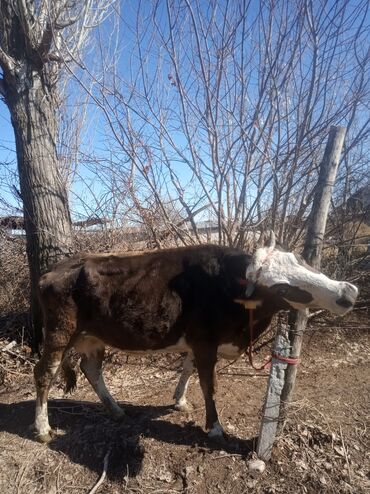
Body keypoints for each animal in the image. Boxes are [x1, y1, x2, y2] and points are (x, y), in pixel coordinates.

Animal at [33, 235, 356, 444]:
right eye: (283, 289)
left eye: (298, 258)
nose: (348, 293)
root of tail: (53, 270)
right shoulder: (205, 342)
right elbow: (209, 385)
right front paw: (215, 428)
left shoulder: (199, 341)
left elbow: (188, 369)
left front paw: (179, 400)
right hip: (60, 332)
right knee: (44, 373)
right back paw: (43, 429)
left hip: (94, 337)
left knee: (91, 369)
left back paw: (115, 410)